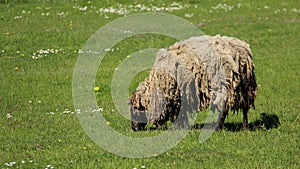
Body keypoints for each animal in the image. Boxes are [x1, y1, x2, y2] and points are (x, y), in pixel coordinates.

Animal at [129, 34, 258, 131]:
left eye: (135, 109)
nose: (134, 129)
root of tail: (241, 51)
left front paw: (178, 126)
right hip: (245, 86)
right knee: (244, 106)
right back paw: (245, 126)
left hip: (225, 84)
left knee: (223, 106)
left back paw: (218, 127)